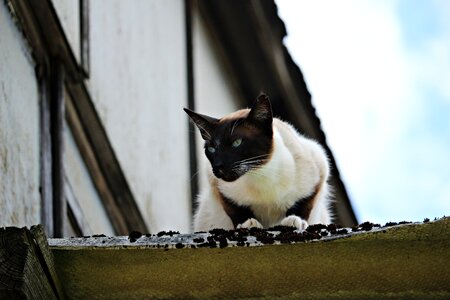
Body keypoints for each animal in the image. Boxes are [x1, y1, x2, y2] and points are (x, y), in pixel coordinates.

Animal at [183, 94, 330, 232]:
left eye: (237, 143)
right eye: (211, 149)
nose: (218, 166)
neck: (259, 174)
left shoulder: (319, 169)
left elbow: (303, 204)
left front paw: (294, 221)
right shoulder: (216, 185)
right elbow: (235, 209)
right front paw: (248, 224)